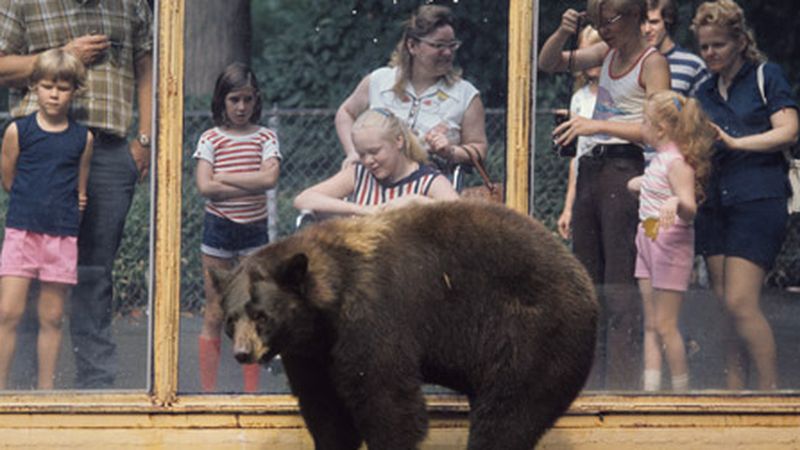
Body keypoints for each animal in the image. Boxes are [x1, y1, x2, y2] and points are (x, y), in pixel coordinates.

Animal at [212, 201, 592, 450]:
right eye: (231, 319)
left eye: (262, 315)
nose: (243, 353)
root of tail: (582, 277)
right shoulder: (311, 353)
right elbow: (326, 407)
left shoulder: (372, 319)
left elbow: (387, 399)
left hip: (533, 336)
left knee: (507, 414)